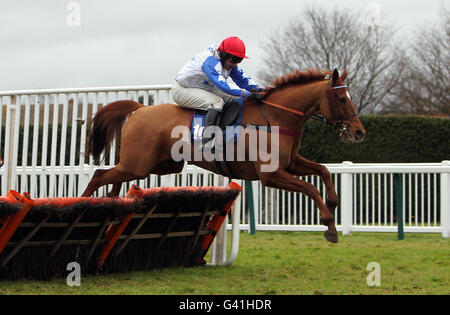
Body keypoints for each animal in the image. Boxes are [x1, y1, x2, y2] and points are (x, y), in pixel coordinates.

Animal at [82, 69, 368, 243]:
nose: (359, 132)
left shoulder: (291, 163)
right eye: (342, 98)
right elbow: (310, 188)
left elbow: (323, 171)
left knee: (112, 178)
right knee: (99, 176)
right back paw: (85, 205)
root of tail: (139, 109)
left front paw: (333, 207)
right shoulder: (272, 175)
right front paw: (329, 224)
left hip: (160, 166)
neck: (276, 118)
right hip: (139, 164)